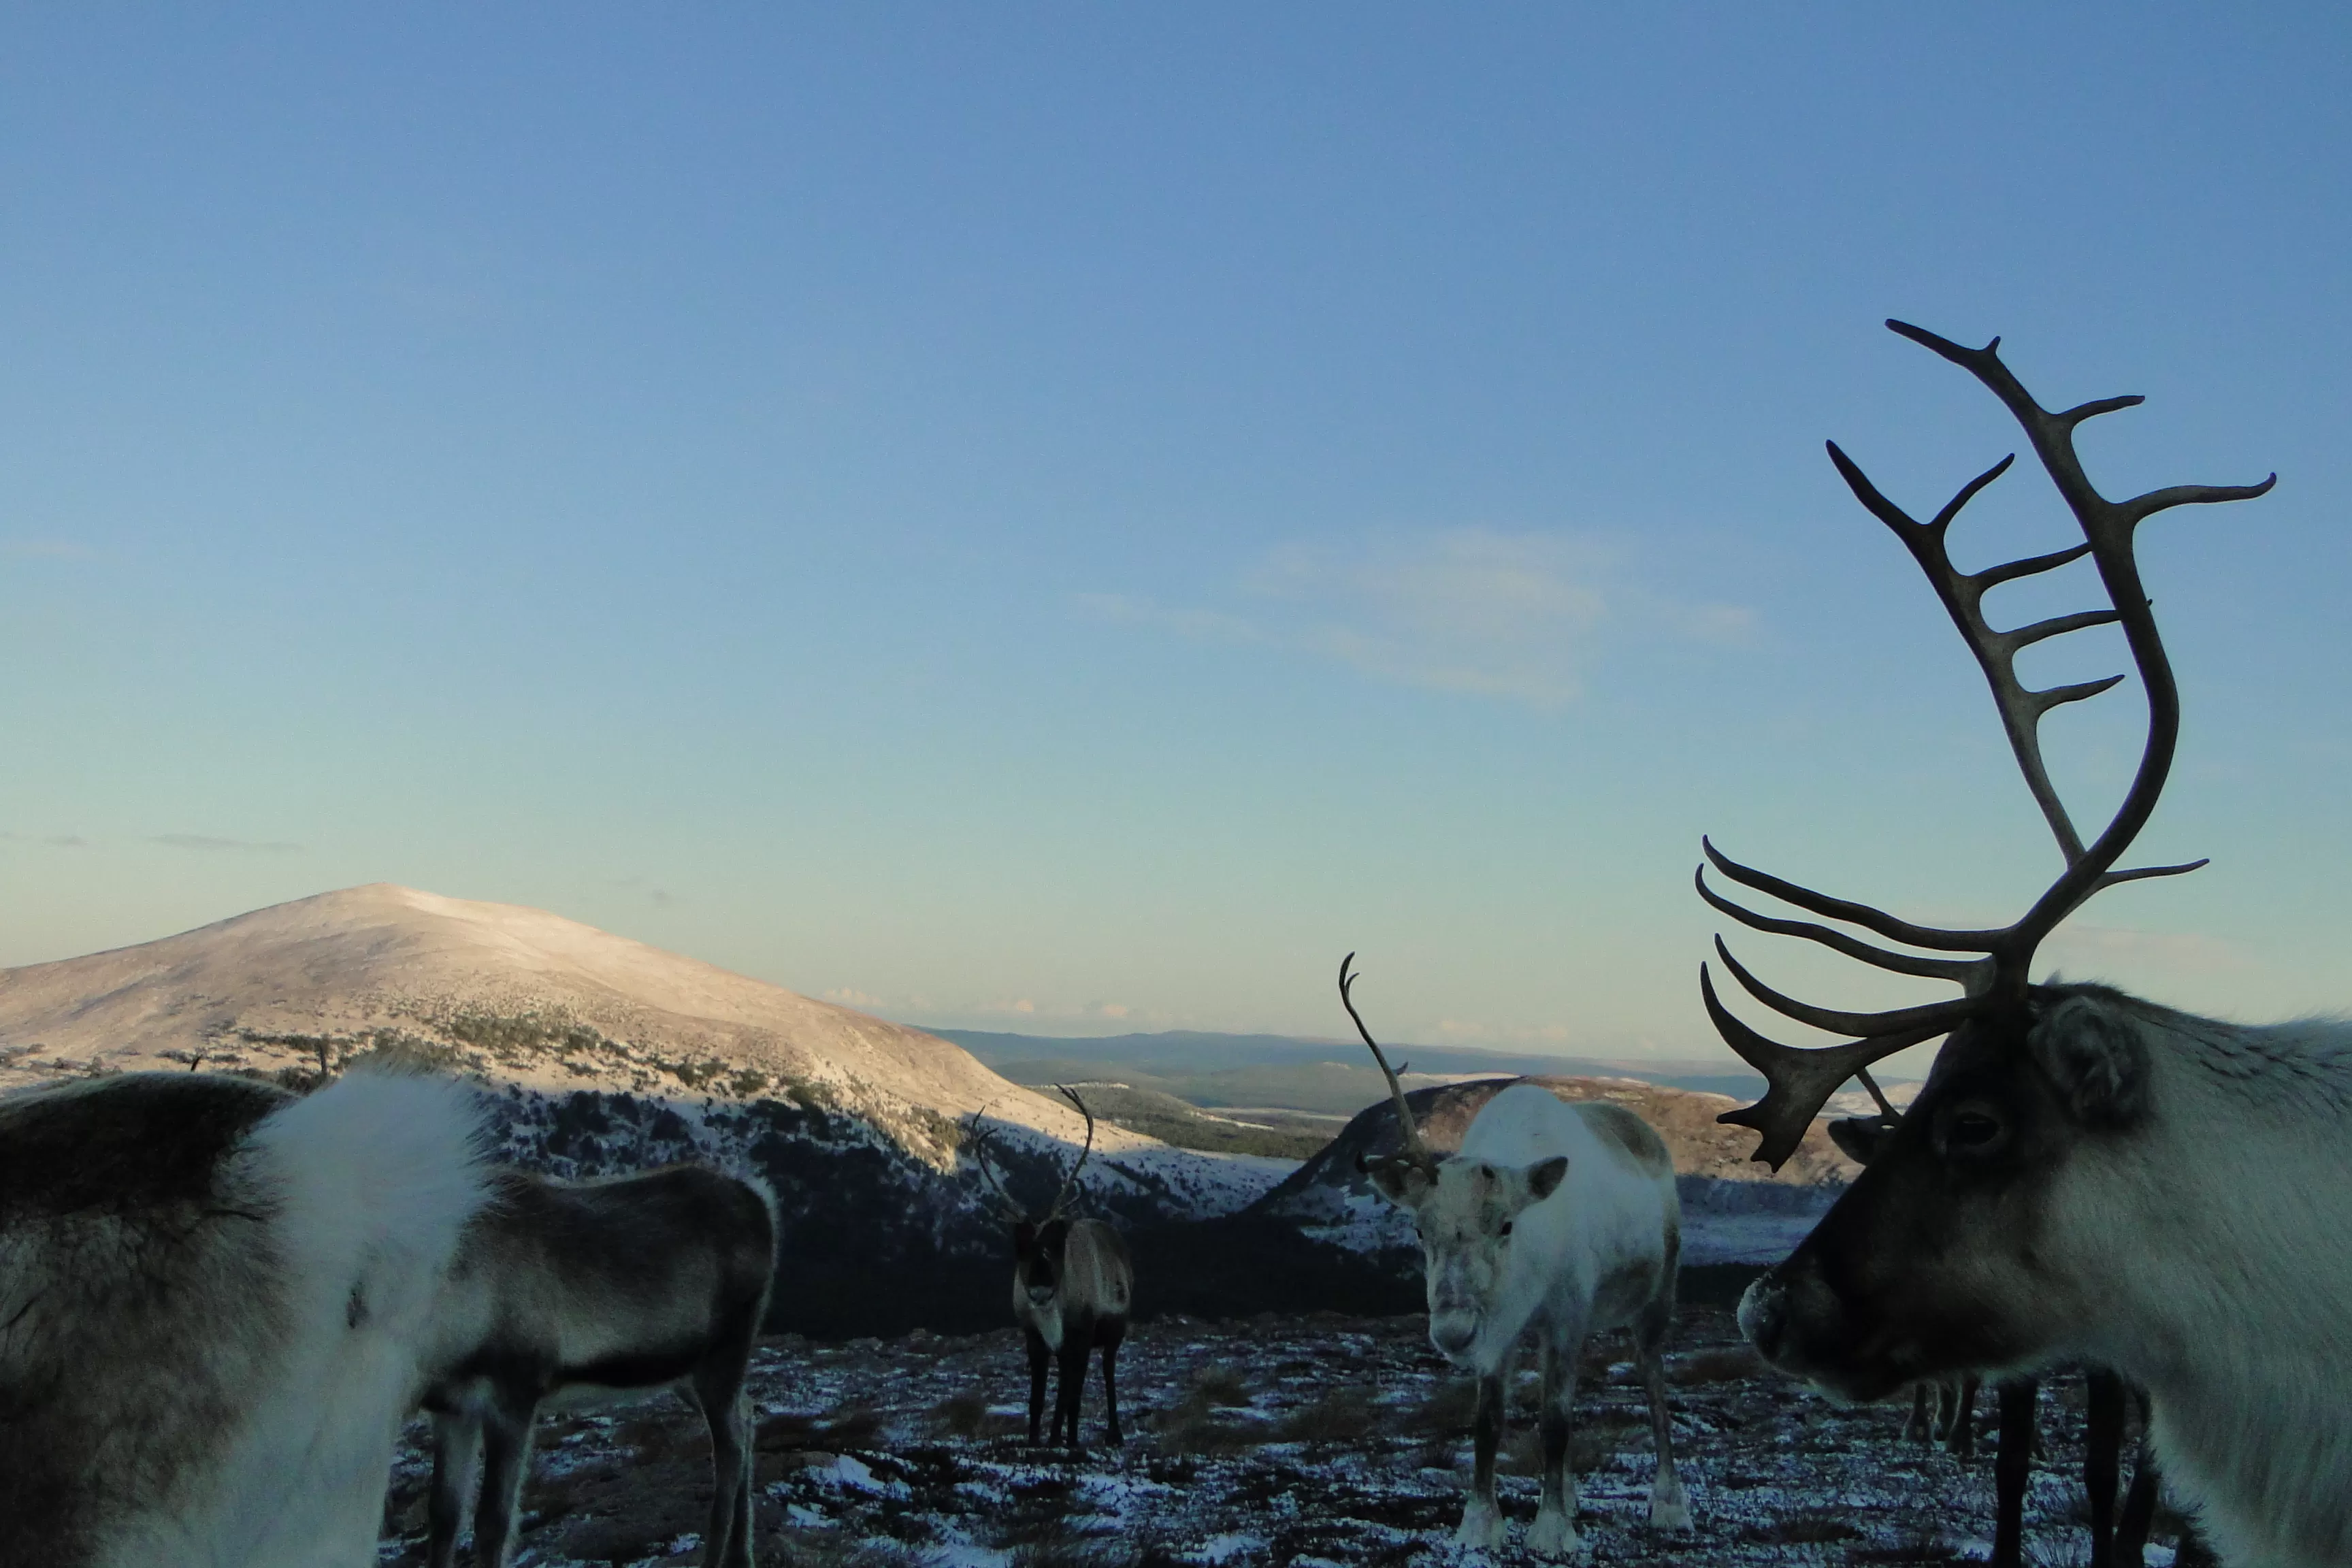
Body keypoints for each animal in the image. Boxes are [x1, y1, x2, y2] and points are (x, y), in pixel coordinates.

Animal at [416, 1163, 780, 1568]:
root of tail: (760, 1198)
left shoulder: (515, 1393)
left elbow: (493, 1521)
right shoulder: (451, 1410)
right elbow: (443, 1517)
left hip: (725, 1353)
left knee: (730, 1446)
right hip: (685, 1373)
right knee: (747, 1413)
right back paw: (742, 1554)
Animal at [965, 1086, 1133, 1450]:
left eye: (1058, 1242)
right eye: (1019, 1244)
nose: (1040, 1291)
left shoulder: (1082, 1335)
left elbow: (1075, 1396)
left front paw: (1071, 1443)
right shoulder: (1035, 1338)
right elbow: (1039, 1398)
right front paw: (1036, 1442)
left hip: (1114, 1331)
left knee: (1108, 1373)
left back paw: (1113, 1433)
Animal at [1341, 955, 1691, 1558]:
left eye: (1506, 1224)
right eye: (1419, 1229)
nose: (1452, 1332)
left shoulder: (1567, 1313)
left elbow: (1555, 1421)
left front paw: (1551, 1531)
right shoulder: (1502, 1330)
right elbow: (1489, 1421)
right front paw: (1480, 1523)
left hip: (1656, 1296)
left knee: (1653, 1381)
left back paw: (1669, 1503)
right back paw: (1571, 1494)